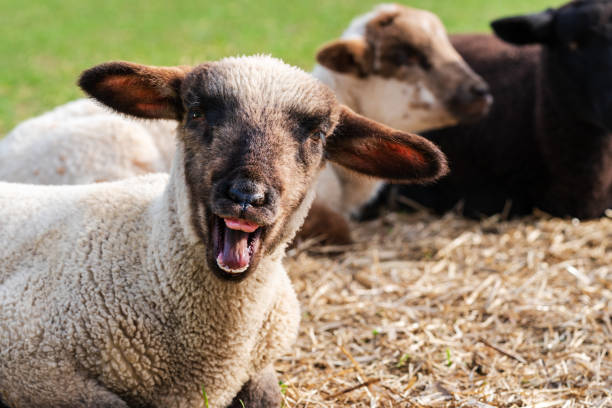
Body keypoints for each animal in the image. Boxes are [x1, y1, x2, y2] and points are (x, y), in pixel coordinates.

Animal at [0, 55, 450, 406]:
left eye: (318, 134)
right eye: (196, 112)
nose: (247, 195)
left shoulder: (258, 365)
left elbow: (268, 397)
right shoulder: (30, 363)